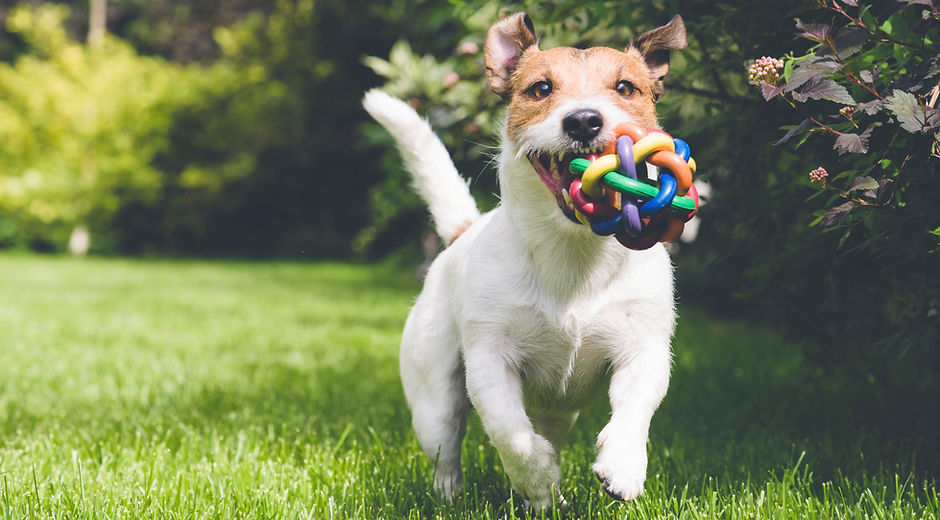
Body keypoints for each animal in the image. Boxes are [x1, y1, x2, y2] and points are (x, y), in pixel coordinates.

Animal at [364, 11, 688, 508]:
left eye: (625, 87)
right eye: (540, 88)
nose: (584, 120)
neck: (572, 251)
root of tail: (463, 232)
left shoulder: (644, 348)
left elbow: (635, 408)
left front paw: (623, 466)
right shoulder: (489, 360)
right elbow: (509, 432)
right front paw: (536, 476)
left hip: (561, 410)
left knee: (550, 428)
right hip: (434, 397)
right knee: (447, 448)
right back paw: (461, 495)